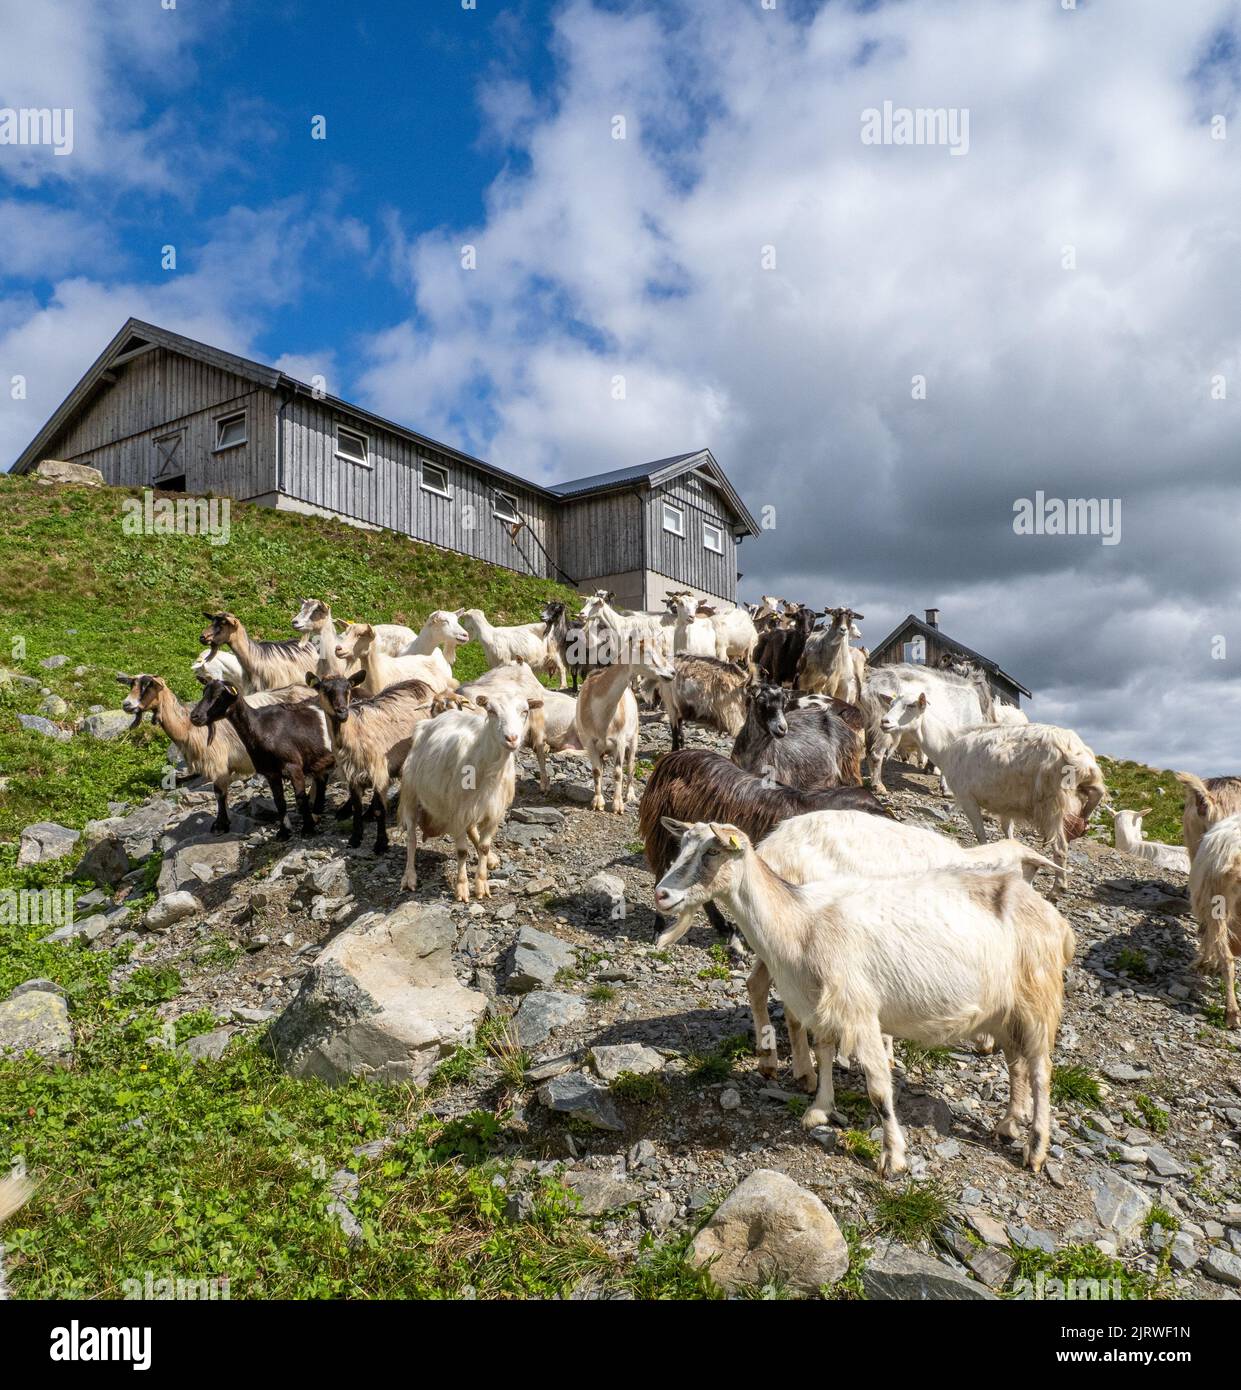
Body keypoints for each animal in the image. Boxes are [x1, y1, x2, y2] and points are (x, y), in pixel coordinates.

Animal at [400, 686, 539, 900]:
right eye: (491, 710)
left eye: (525, 711)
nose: (512, 738)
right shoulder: (456, 812)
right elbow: (462, 852)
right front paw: (462, 887)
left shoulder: (494, 813)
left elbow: (483, 846)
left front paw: (481, 884)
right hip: (410, 792)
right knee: (411, 838)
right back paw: (409, 877)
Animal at [653, 817, 1072, 1178]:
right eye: (682, 846)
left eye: (712, 851)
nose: (662, 894)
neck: (800, 923)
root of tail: (1054, 919)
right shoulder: (822, 1006)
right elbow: (823, 1053)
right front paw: (820, 1108)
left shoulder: (861, 1010)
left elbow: (878, 1086)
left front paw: (893, 1157)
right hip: (1005, 1010)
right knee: (1016, 1065)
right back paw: (1007, 1125)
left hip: (1037, 1001)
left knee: (1040, 1071)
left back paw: (1035, 1149)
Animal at [883, 695, 1106, 889]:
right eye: (892, 703)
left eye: (911, 705)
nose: (885, 722)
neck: (947, 746)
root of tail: (1078, 754)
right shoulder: (1006, 806)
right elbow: (1009, 834)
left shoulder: (967, 798)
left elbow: (980, 834)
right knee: (1095, 795)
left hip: (1051, 804)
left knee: (1060, 847)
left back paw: (1057, 889)